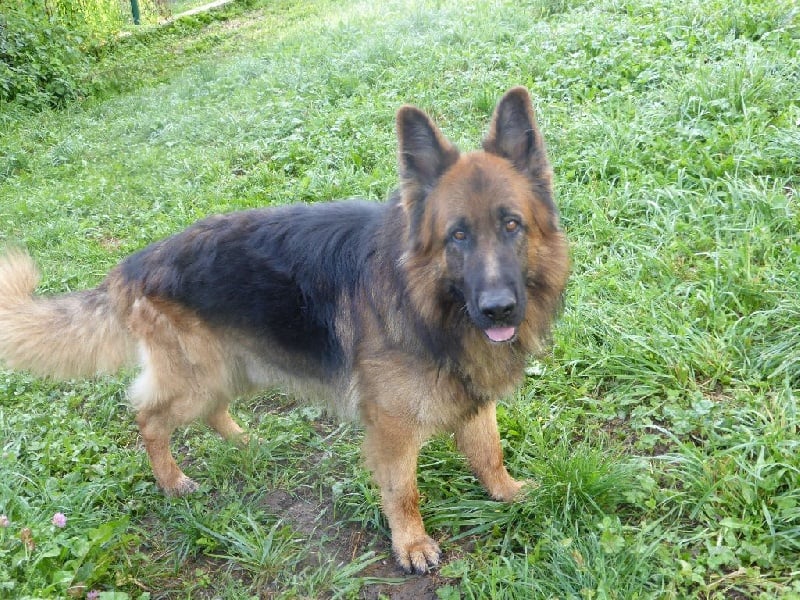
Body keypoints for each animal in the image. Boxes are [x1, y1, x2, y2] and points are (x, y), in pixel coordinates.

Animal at [0, 87, 569, 573]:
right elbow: (401, 490)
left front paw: (508, 493)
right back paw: (173, 481)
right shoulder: (392, 429)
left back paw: (243, 441)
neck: (425, 299)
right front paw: (411, 543)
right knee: (148, 418)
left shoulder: (471, 396)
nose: (498, 311)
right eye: (457, 236)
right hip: (198, 377)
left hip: (235, 366)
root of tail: (134, 264)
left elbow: (489, 453)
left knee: (211, 411)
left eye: (512, 224)